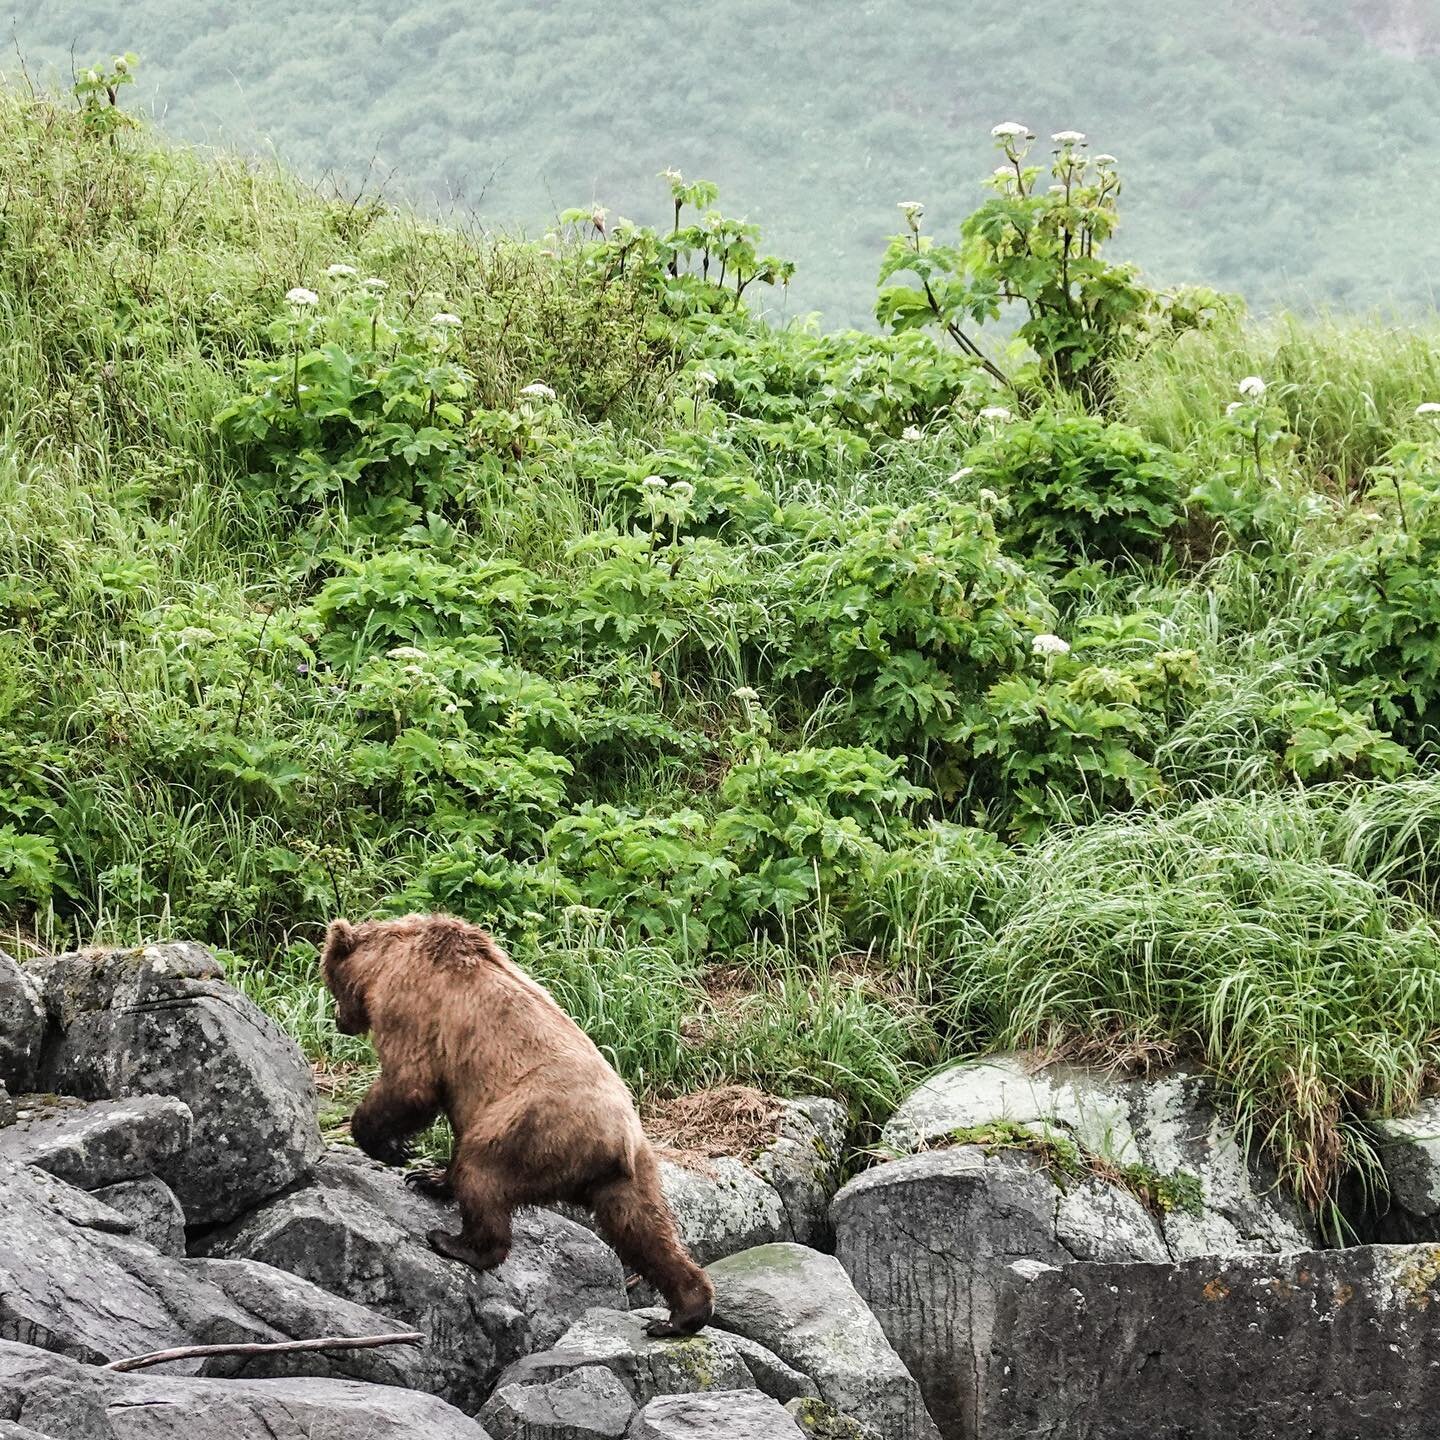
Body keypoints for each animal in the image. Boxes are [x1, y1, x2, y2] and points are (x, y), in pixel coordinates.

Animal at [321, 910, 714, 1336]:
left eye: (329, 982)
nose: (339, 1021)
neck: (385, 963)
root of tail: (616, 1140)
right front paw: (424, 1174)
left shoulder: (412, 1008)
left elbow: (409, 1084)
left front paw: (393, 1150)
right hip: (629, 1173)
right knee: (642, 1228)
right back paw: (683, 1314)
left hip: (530, 1127)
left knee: (482, 1173)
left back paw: (456, 1243)